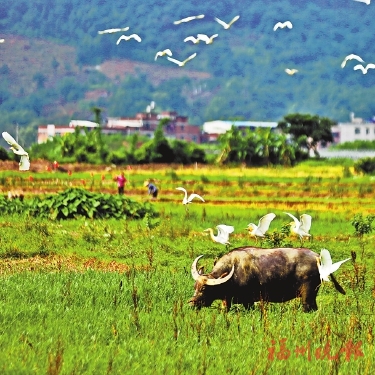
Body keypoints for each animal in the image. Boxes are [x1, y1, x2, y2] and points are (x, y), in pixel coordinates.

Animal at [189, 248, 348, 312]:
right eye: (195, 286)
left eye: (204, 288)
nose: (191, 303)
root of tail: (317, 257)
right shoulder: (227, 301)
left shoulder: (249, 301)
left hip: (307, 295)